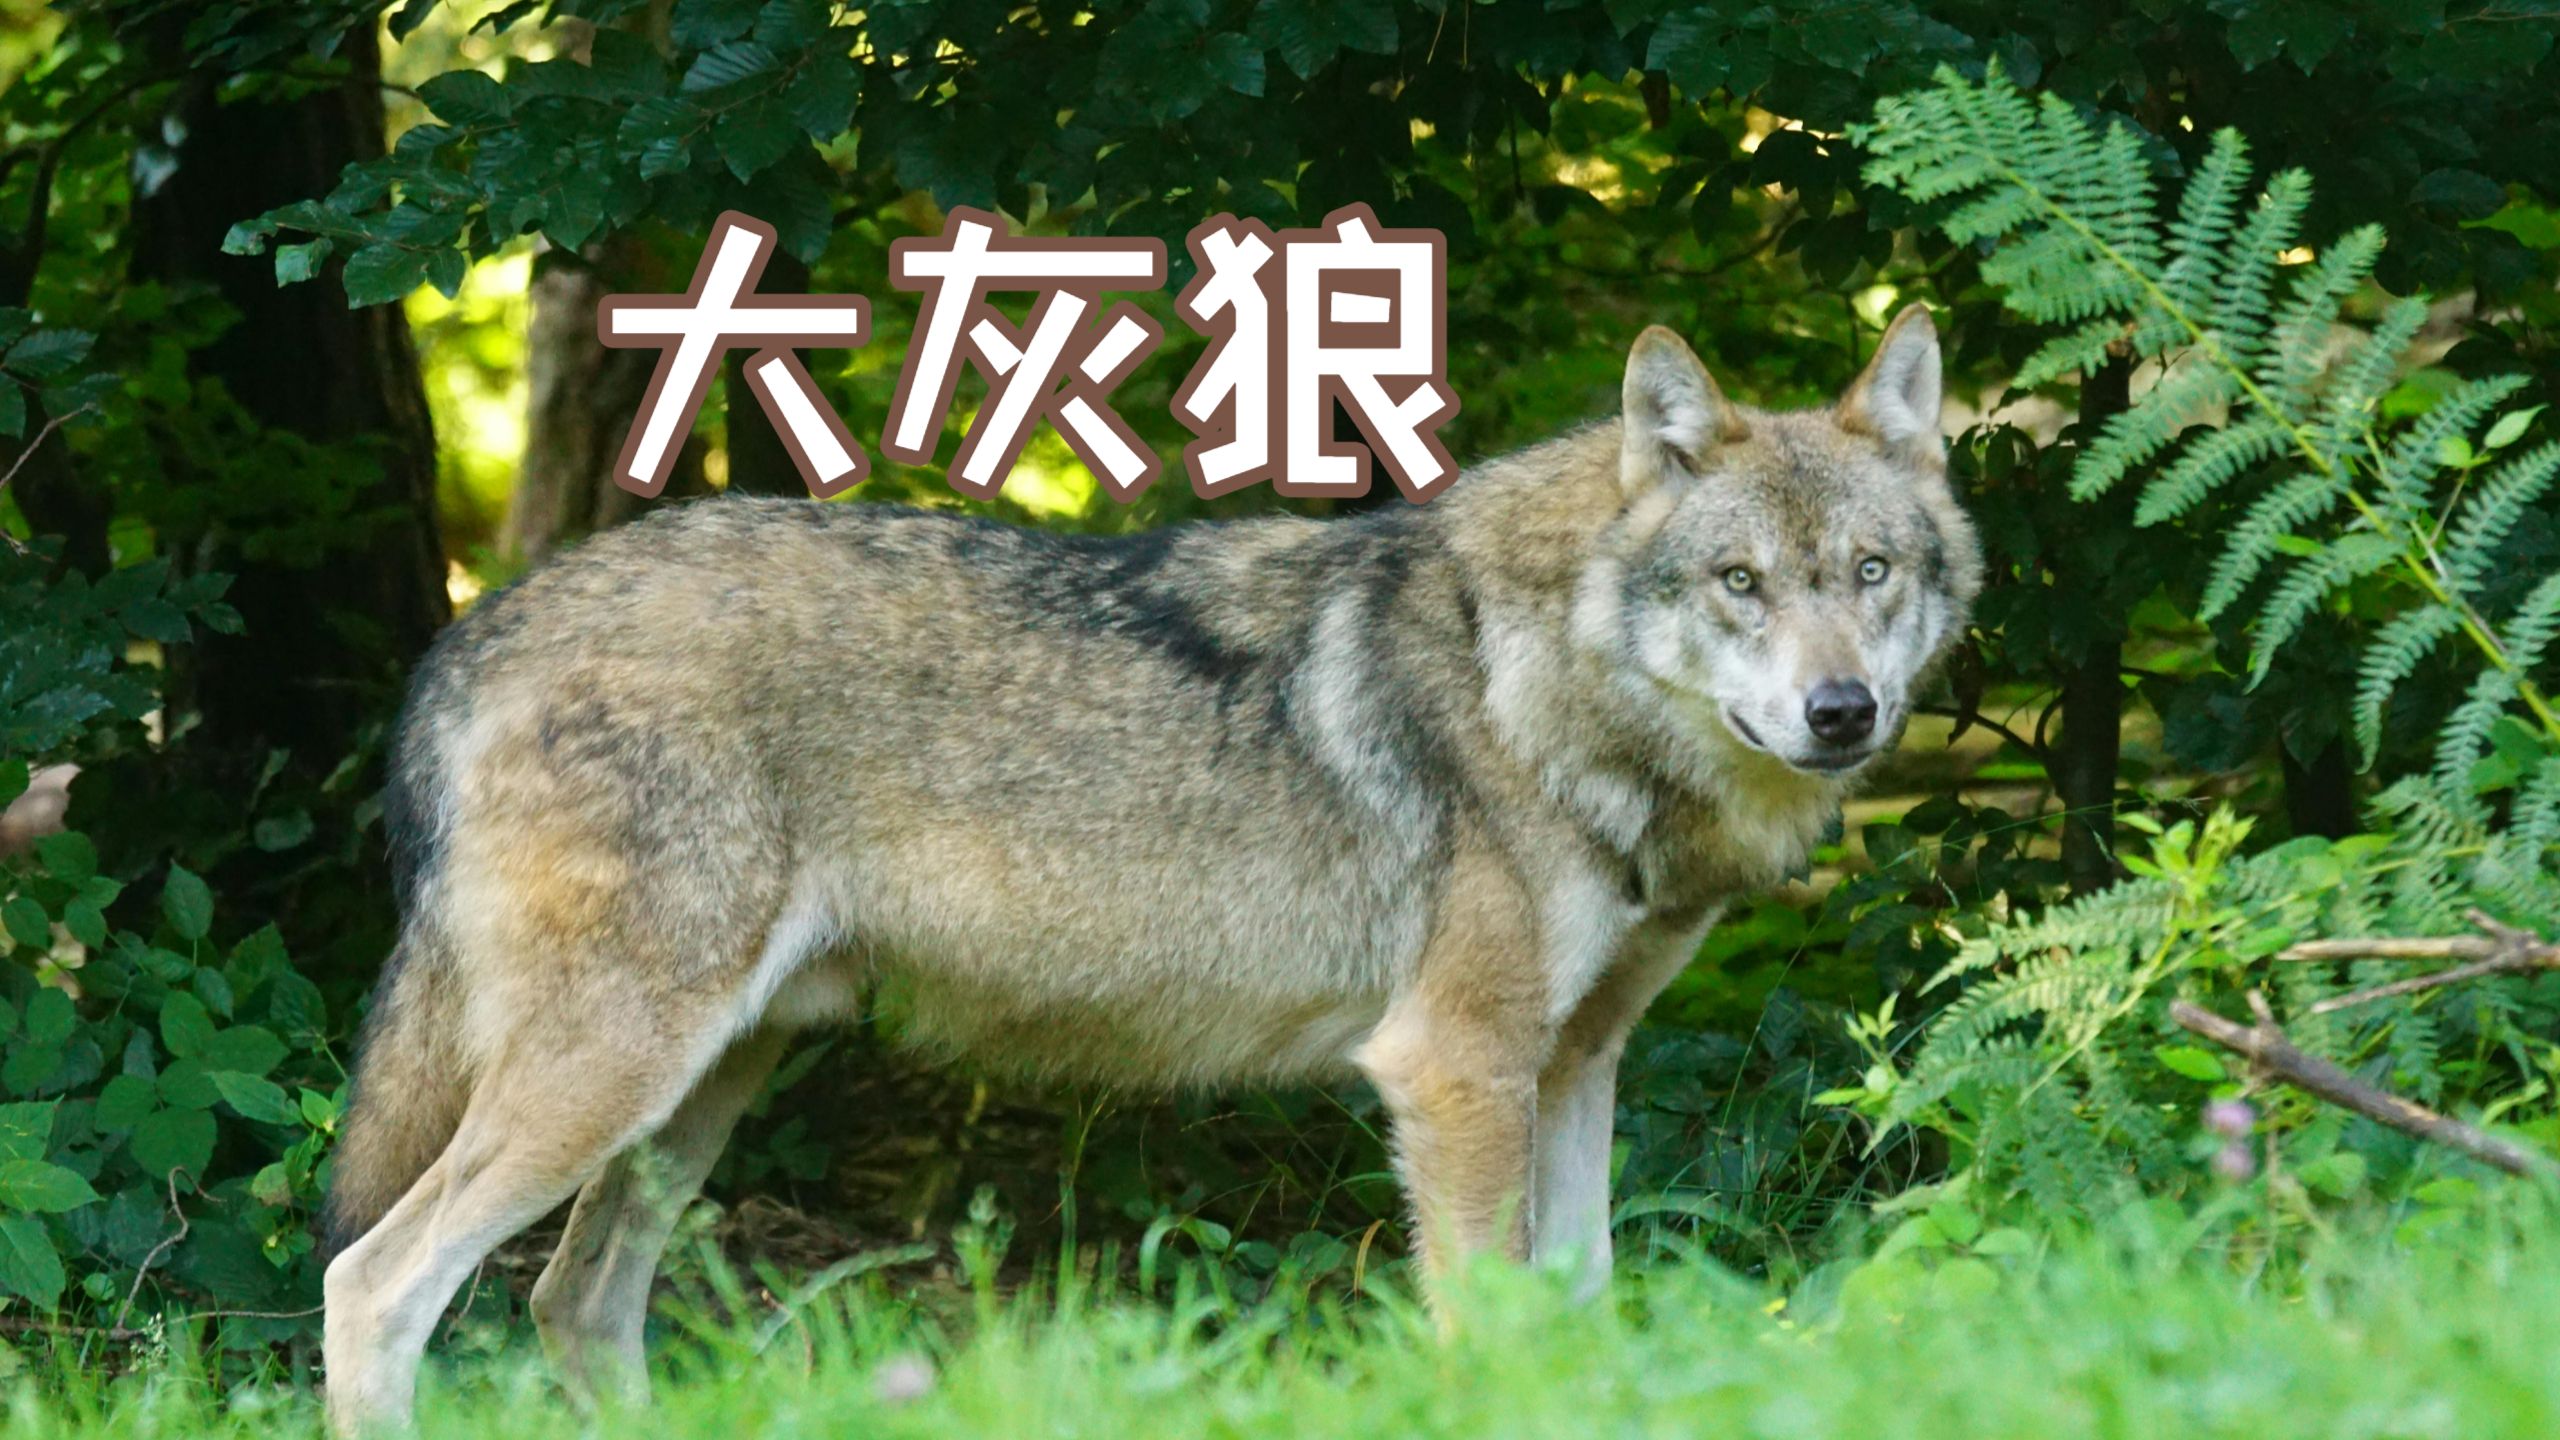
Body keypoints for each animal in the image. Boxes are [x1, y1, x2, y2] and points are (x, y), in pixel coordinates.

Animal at [318, 304, 1978, 1431]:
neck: (1546, 681)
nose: (1843, 712)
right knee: (375, 1285)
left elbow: (1582, 1316)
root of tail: (475, 630)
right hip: (615, 1080)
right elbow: (1488, 1334)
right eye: (1740, 583)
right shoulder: (1455, 1071)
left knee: (574, 1304)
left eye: (1870, 574)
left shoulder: (1575, 1067)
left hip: (696, 1094)